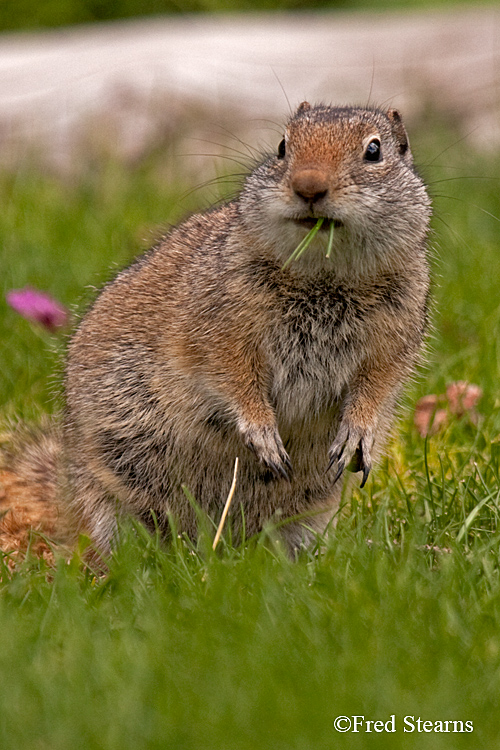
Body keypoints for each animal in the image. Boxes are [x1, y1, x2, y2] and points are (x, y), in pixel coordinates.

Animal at [7, 103, 432, 556]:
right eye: (282, 146)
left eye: (375, 150)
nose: (309, 186)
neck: (324, 277)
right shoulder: (219, 333)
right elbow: (234, 380)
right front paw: (264, 435)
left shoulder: (394, 345)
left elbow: (376, 389)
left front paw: (357, 436)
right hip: (113, 493)